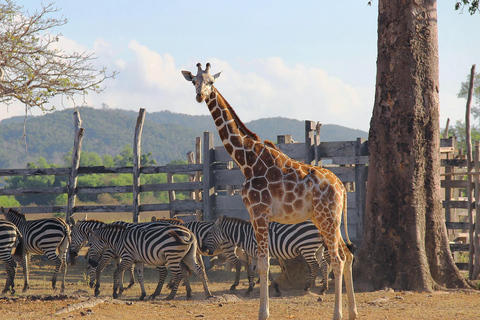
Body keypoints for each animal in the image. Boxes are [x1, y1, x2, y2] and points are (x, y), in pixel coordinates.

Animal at [202, 215, 330, 296]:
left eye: (209, 232)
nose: (204, 248)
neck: (246, 235)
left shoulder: (261, 253)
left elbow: (264, 271)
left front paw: (276, 289)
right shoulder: (254, 256)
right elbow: (254, 271)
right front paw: (250, 289)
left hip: (307, 247)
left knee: (315, 265)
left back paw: (308, 286)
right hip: (318, 249)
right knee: (324, 265)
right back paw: (323, 288)